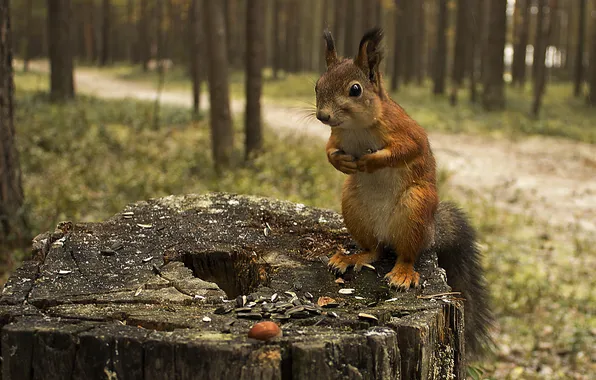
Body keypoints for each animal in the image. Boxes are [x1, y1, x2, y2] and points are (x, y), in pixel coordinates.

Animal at [314, 27, 492, 356]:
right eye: (317, 84)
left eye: (355, 90)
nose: (323, 116)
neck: (357, 127)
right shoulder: (337, 136)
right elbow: (330, 149)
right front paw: (341, 161)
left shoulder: (406, 131)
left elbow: (408, 149)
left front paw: (371, 161)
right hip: (354, 208)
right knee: (374, 250)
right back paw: (351, 258)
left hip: (415, 209)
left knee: (407, 254)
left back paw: (403, 274)